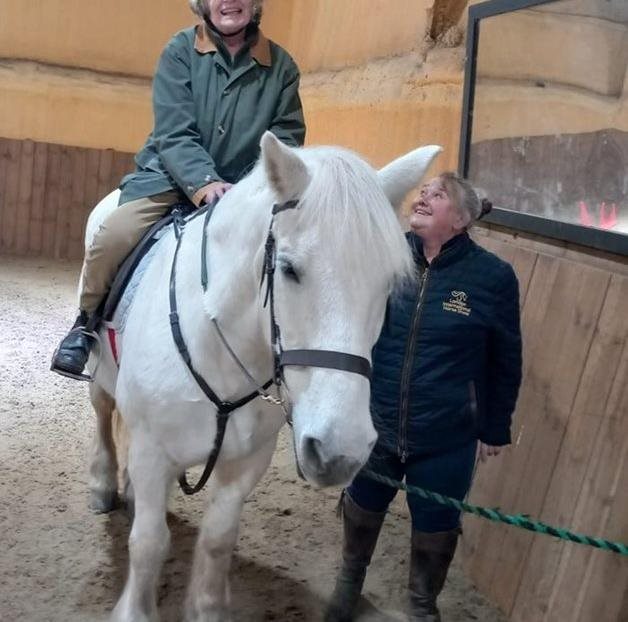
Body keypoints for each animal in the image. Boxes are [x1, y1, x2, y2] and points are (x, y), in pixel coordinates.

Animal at [86, 134, 442, 622]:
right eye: (289, 269)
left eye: (388, 284)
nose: (340, 450)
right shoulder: (151, 451)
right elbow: (148, 544)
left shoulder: (246, 462)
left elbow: (217, 543)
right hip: (101, 375)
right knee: (103, 417)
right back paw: (103, 485)